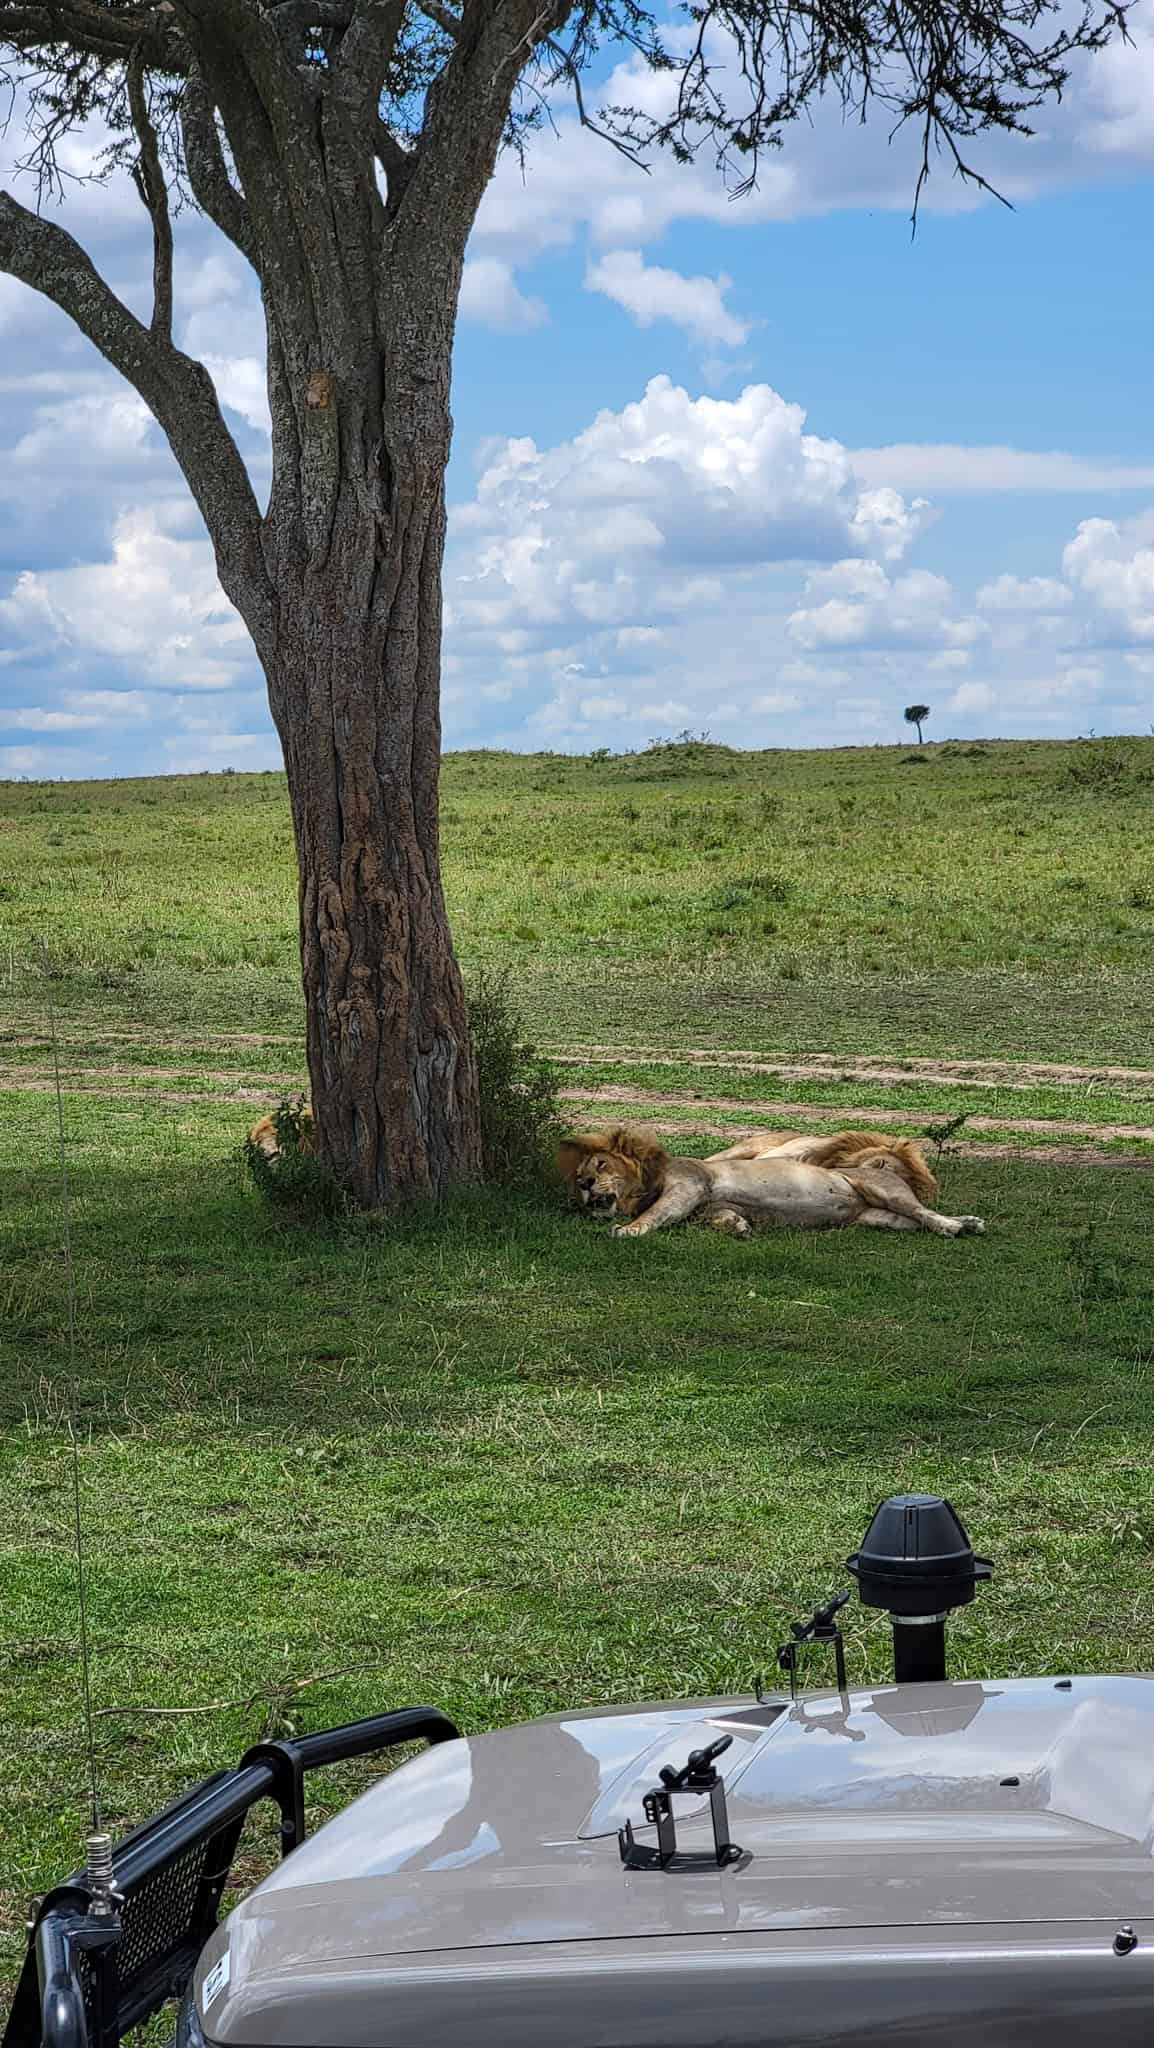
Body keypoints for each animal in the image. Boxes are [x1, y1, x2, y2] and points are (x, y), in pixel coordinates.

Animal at [561, 1130, 983, 1236]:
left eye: (600, 1164)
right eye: (579, 1177)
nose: (584, 1183)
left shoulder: (691, 1185)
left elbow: (656, 1214)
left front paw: (627, 1230)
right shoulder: (710, 1204)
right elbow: (722, 1217)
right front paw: (740, 1227)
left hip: (882, 1189)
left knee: (925, 1212)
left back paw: (955, 1227)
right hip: (878, 1218)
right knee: (917, 1218)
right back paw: (967, 1222)